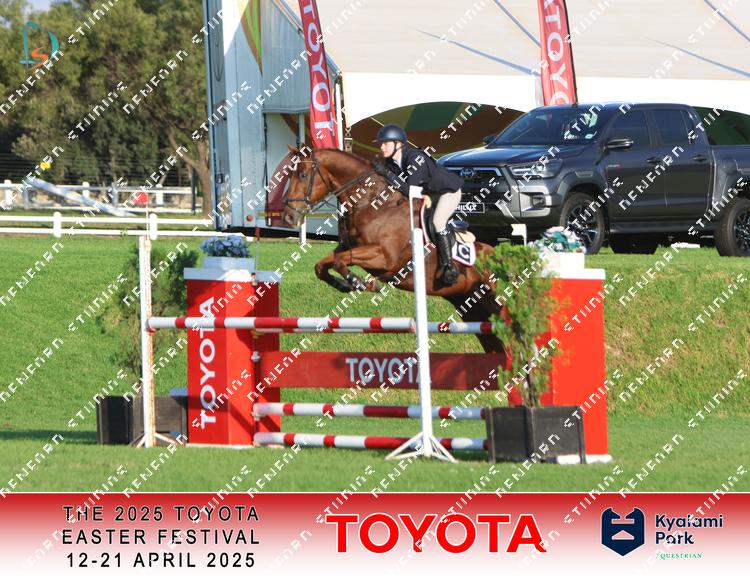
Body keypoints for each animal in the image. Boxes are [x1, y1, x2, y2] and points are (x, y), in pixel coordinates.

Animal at [281, 145, 504, 354]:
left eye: (303, 175)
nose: (288, 217)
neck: (372, 204)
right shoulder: (350, 248)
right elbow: (322, 265)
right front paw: (343, 285)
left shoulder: (385, 258)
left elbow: (340, 261)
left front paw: (364, 284)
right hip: (471, 308)